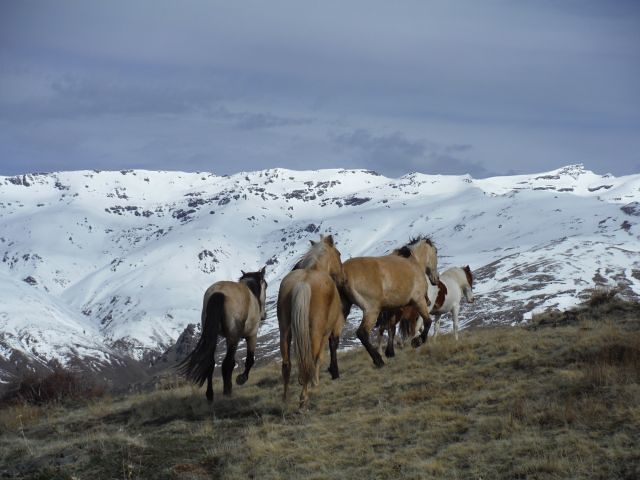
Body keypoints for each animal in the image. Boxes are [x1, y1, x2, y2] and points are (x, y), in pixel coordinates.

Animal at [176, 268, 266, 404]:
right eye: (266, 285)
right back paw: (227, 391)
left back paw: (210, 395)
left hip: (214, 336)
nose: (264, 315)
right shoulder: (252, 335)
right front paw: (241, 379)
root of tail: (219, 293)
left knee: (210, 363)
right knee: (227, 363)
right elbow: (249, 360)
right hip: (233, 336)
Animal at [276, 235, 344, 408]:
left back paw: (285, 400)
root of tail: (303, 283)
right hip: (315, 332)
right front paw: (316, 383)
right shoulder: (326, 332)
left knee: (286, 365)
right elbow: (319, 357)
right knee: (309, 361)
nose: (343, 278)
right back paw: (303, 399)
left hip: (284, 331)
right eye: (338, 253)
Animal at [340, 236, 440, 368]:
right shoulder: (419, 301)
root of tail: (343, 272)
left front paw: (390, 352)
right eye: (436, 251)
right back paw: (378, 360)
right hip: (371, 310)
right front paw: (418, 341)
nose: (436, 279)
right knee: (362, 333)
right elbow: (427, 321)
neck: (413, 263)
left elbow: (391, 328)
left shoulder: (392, 308)